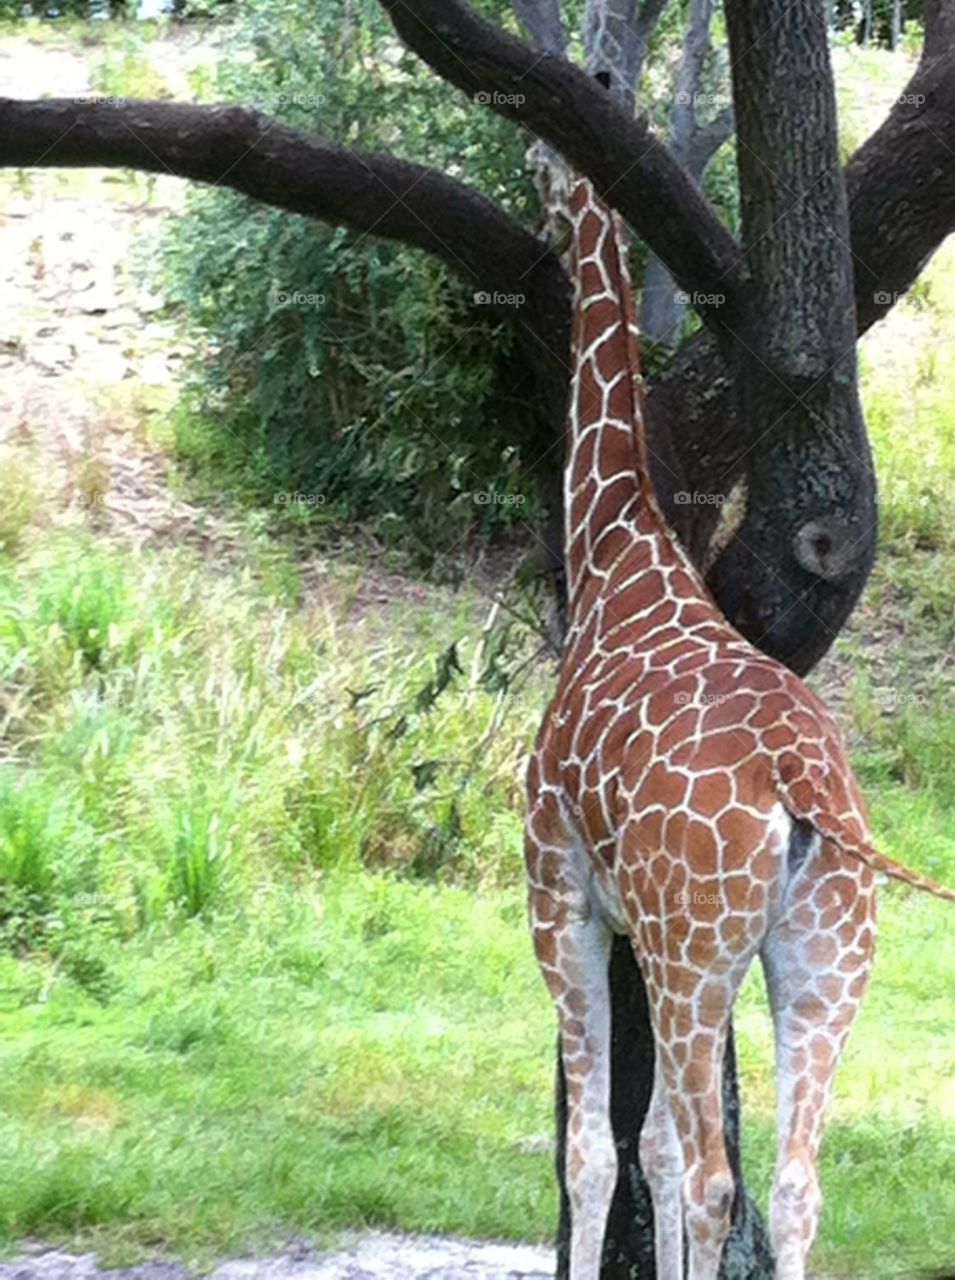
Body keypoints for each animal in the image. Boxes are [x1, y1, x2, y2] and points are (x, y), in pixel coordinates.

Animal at [524, 172, 955, 1280]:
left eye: (547, 171)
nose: (546, 214)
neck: (614, 549)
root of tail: (803, 783)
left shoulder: (560, 894)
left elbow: (597, 1150)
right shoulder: (638, 925)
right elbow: (656, 1146)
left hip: (697, 949)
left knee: (719, 1177)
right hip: (823, 957)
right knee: (795, 1182)